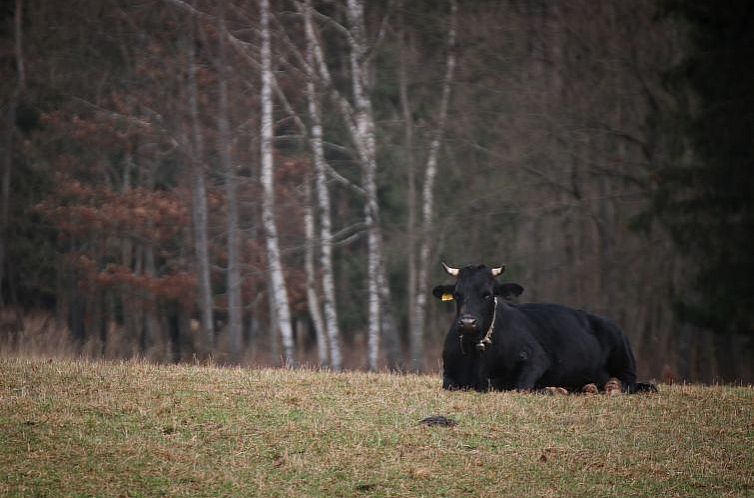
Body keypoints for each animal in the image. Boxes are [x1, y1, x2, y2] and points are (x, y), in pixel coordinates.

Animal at [432, 262, 656, 394]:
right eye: (458, 294)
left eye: (487, 294)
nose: (467, 322)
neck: (477, 355)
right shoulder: (449, 373)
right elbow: (450, 384)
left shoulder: (537, 358)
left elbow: (520, 387)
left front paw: (549, 390)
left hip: (624, 357)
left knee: (633, 383)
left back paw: (610, 386)